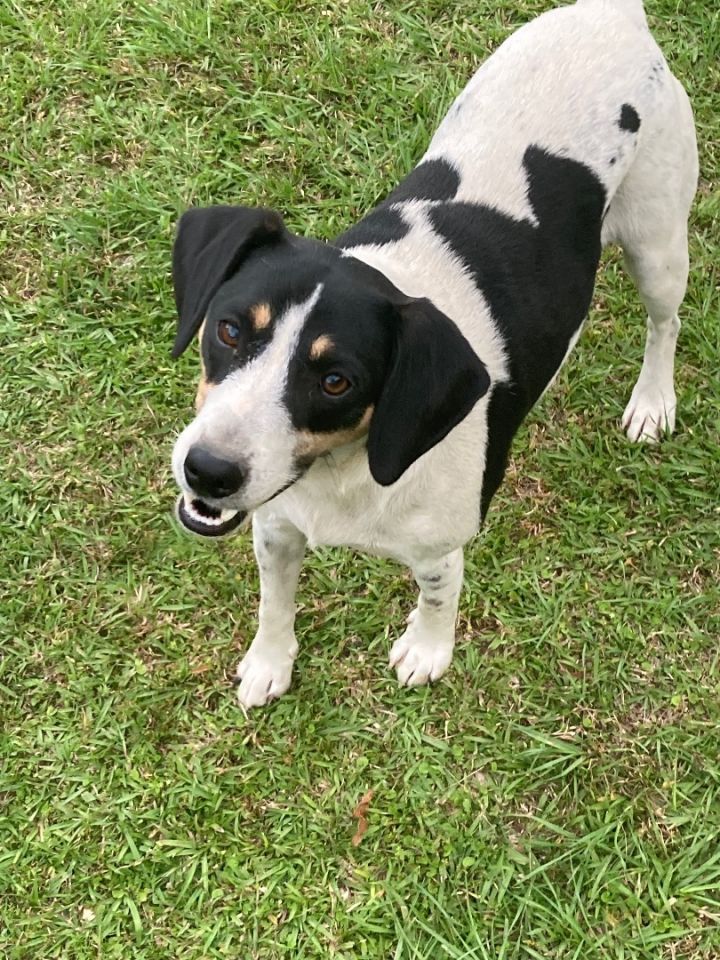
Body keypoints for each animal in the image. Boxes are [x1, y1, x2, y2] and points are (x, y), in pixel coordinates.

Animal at [169, 0, 696, 704]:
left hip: (658, 246)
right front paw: (269, 662)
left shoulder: (440, 548)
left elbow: (438, 597)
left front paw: (427, 650)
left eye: (336, 380)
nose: (208, 471)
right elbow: (274, 602)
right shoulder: (275, 526)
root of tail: (617, 17)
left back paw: (652, 402)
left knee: (664, 324)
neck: (342, 469)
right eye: (228, 330)